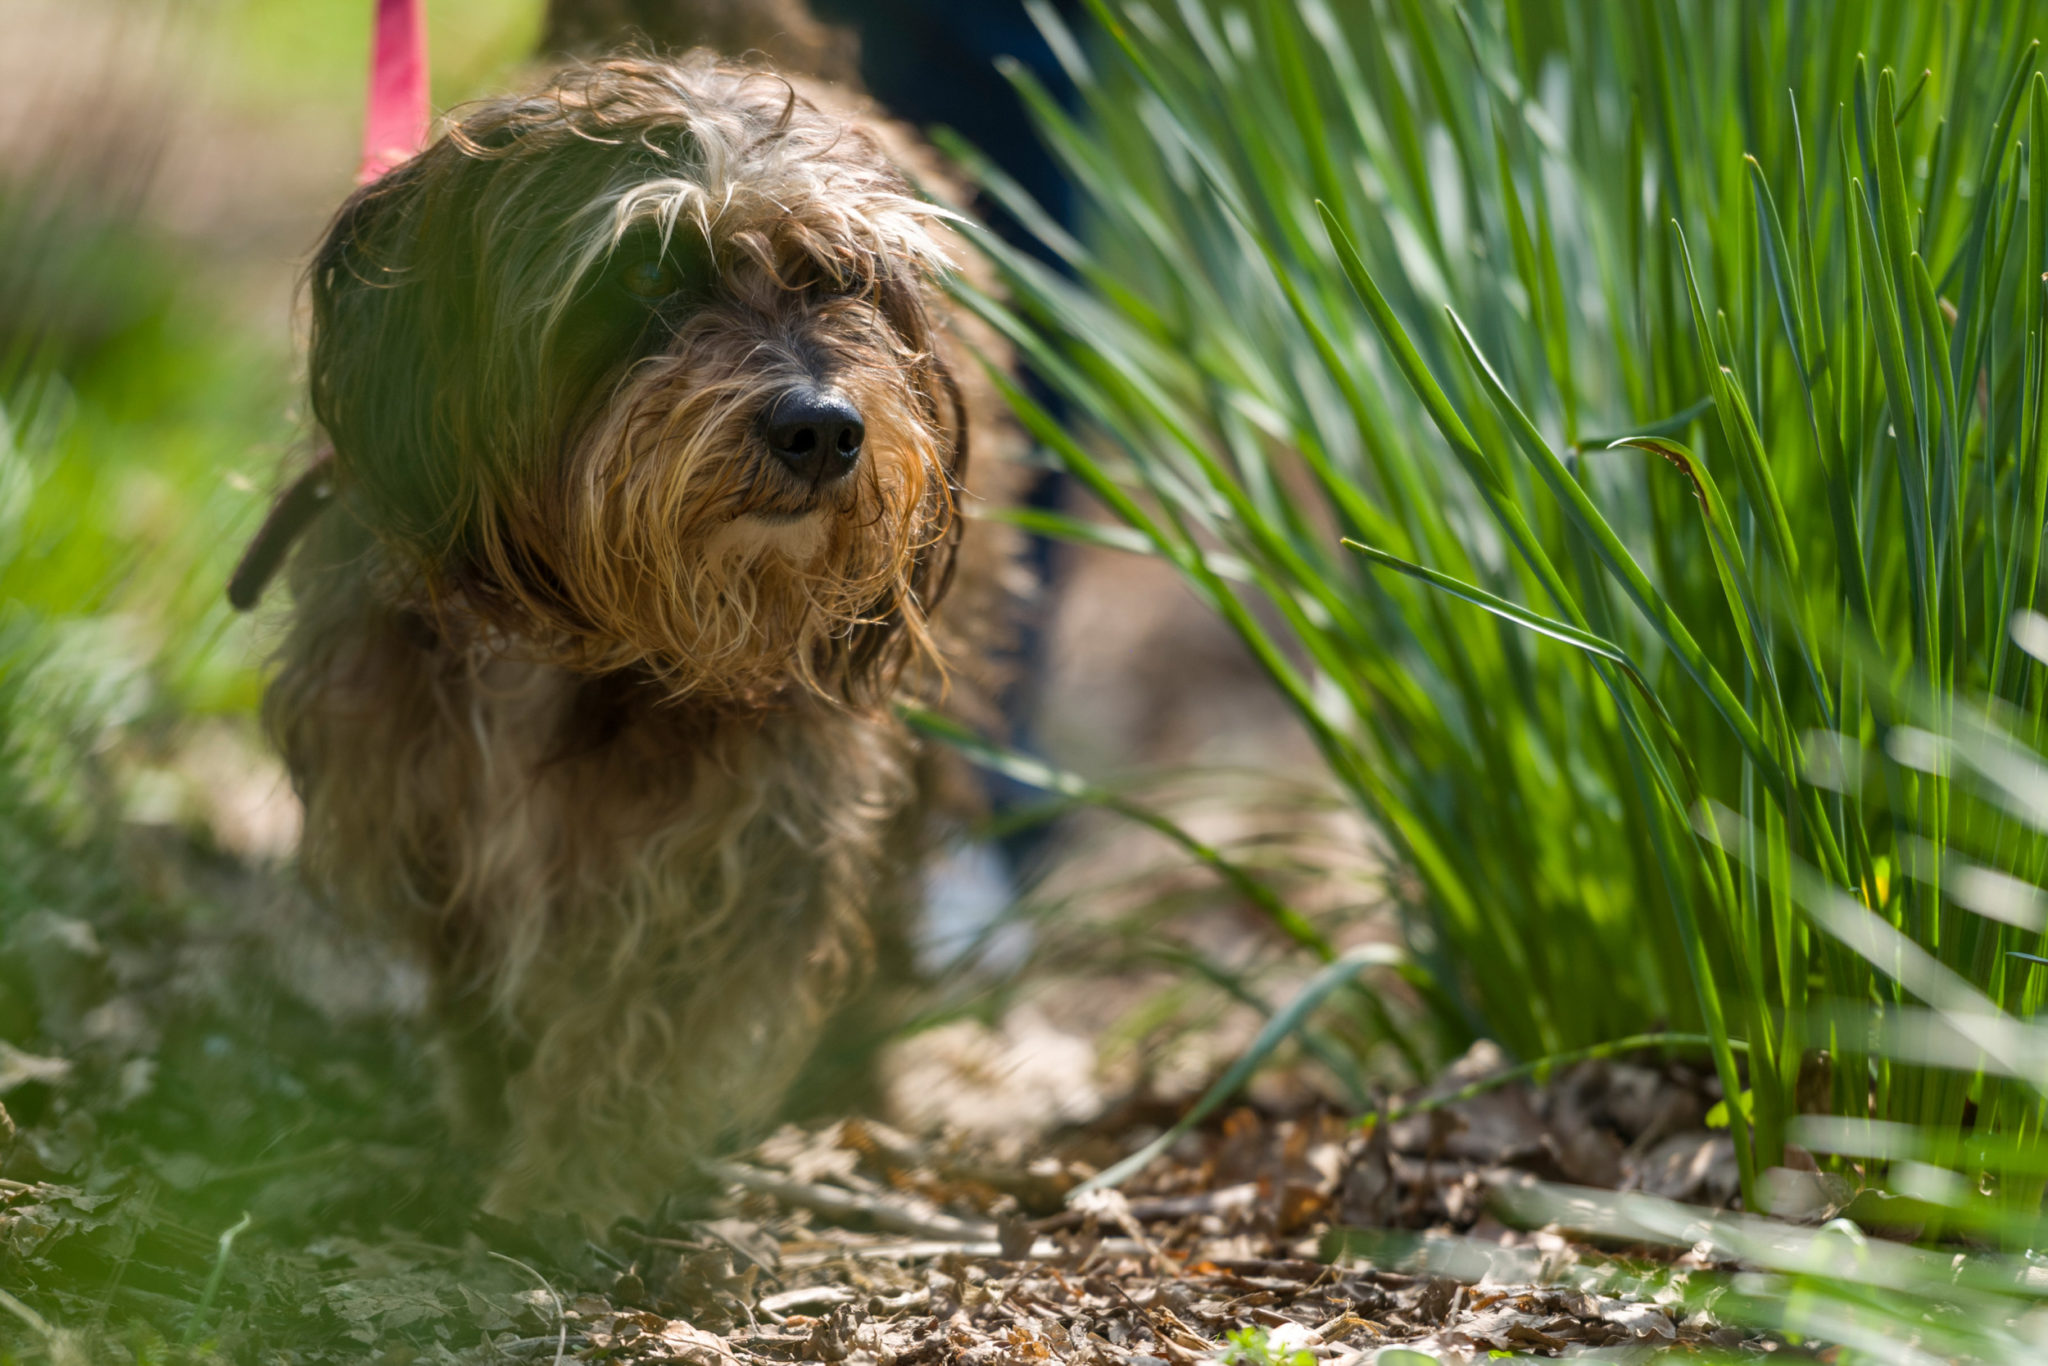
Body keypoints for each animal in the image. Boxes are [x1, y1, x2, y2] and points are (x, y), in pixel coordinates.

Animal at [247, 53, 1015, 1220]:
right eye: (647, 268)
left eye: (838, 278)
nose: (823, 428)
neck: (566, 626)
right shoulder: (420, 793)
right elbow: (479, 975)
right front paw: (494, 1109)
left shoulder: (751, 820)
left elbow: (652, 1010)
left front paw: (575, 1176)